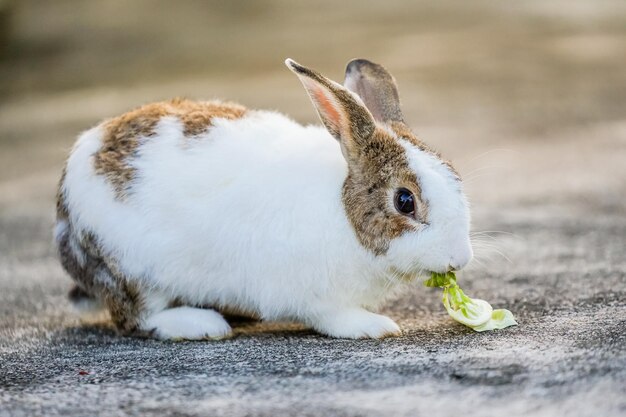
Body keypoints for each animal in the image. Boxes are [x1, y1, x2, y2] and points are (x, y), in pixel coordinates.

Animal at [56, 57, 470, 338]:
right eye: (405, 201)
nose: (459, 260)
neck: (343, 212)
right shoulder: (313, 294)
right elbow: (334, 317)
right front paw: (375, 326)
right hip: (132, 275)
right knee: (136, 319)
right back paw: (200, 324)